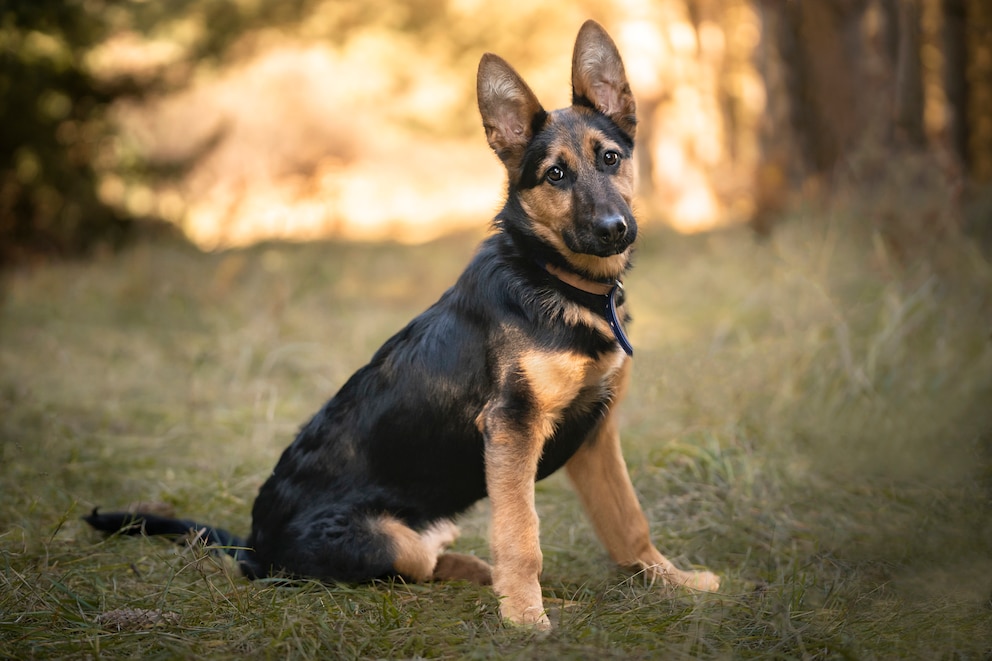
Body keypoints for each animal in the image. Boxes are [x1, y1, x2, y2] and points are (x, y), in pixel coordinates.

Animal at [85, 19, 716, 628]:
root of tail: (253, 549)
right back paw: (531, 597)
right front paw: (526, 620)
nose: (614, 230)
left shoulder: (595, 432)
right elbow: (522, 536)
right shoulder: (513, 427)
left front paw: (674, 583)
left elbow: (627, 521)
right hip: (386, 539)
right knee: (412, 571)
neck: (555, 278)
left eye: (610, 157)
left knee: (437, 561)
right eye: (556, 175)